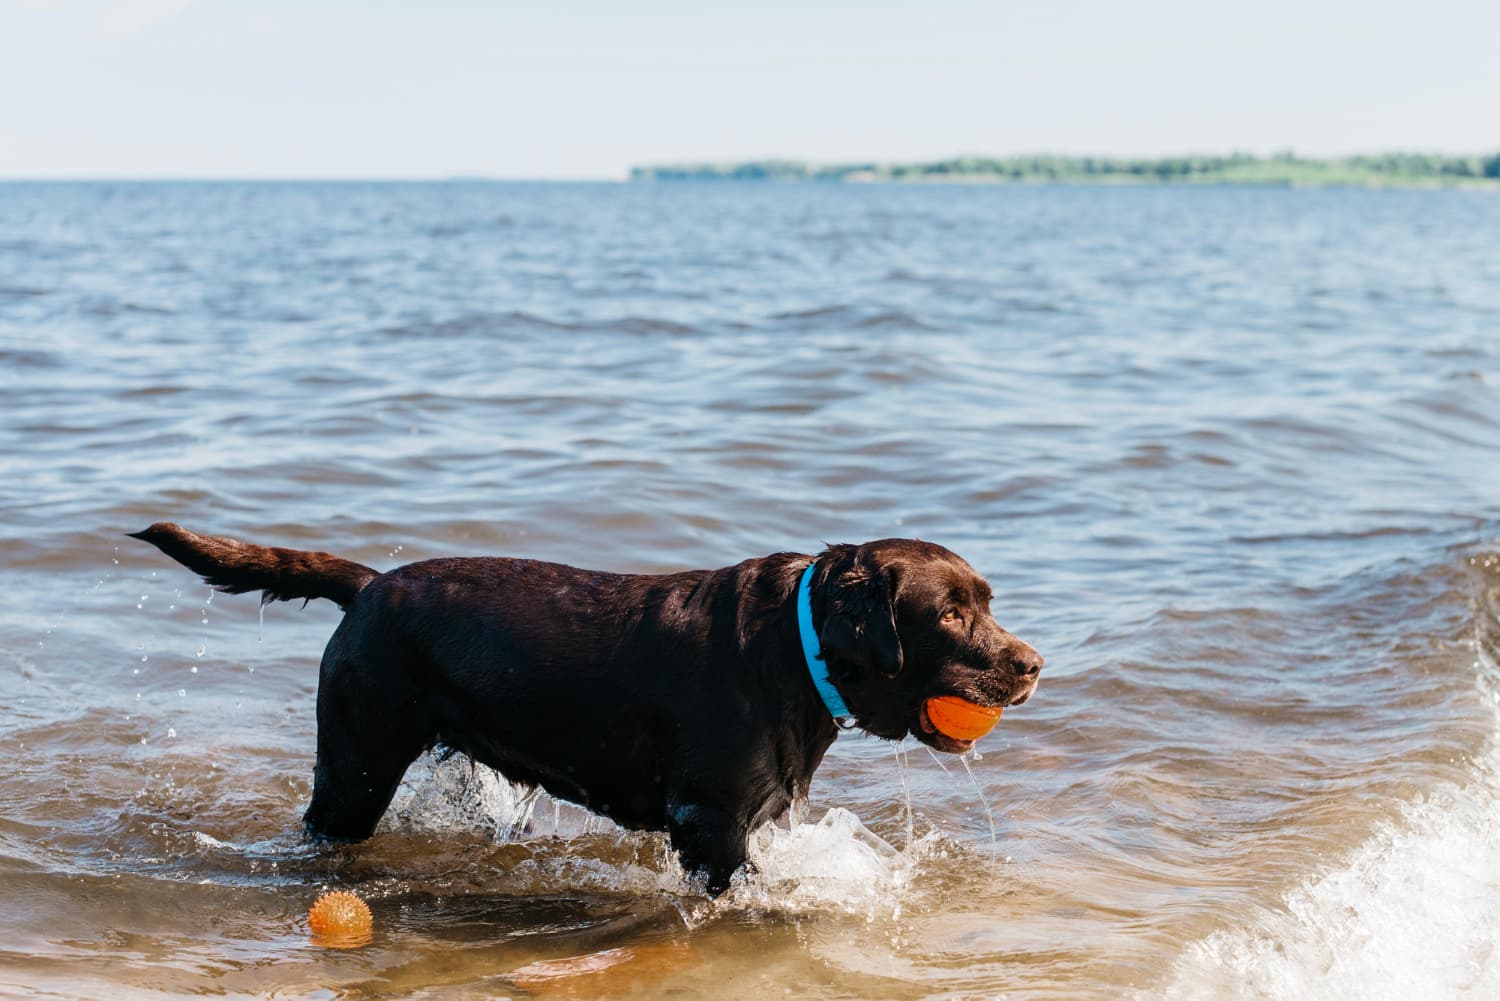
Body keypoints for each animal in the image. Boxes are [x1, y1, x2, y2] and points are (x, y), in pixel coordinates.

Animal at [129, 525, 1044, 894]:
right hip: (353, 767)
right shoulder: (710, 822)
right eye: (951, 614)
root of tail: (370, 585)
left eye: (987, 601)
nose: (1033, 665)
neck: (795, 646)